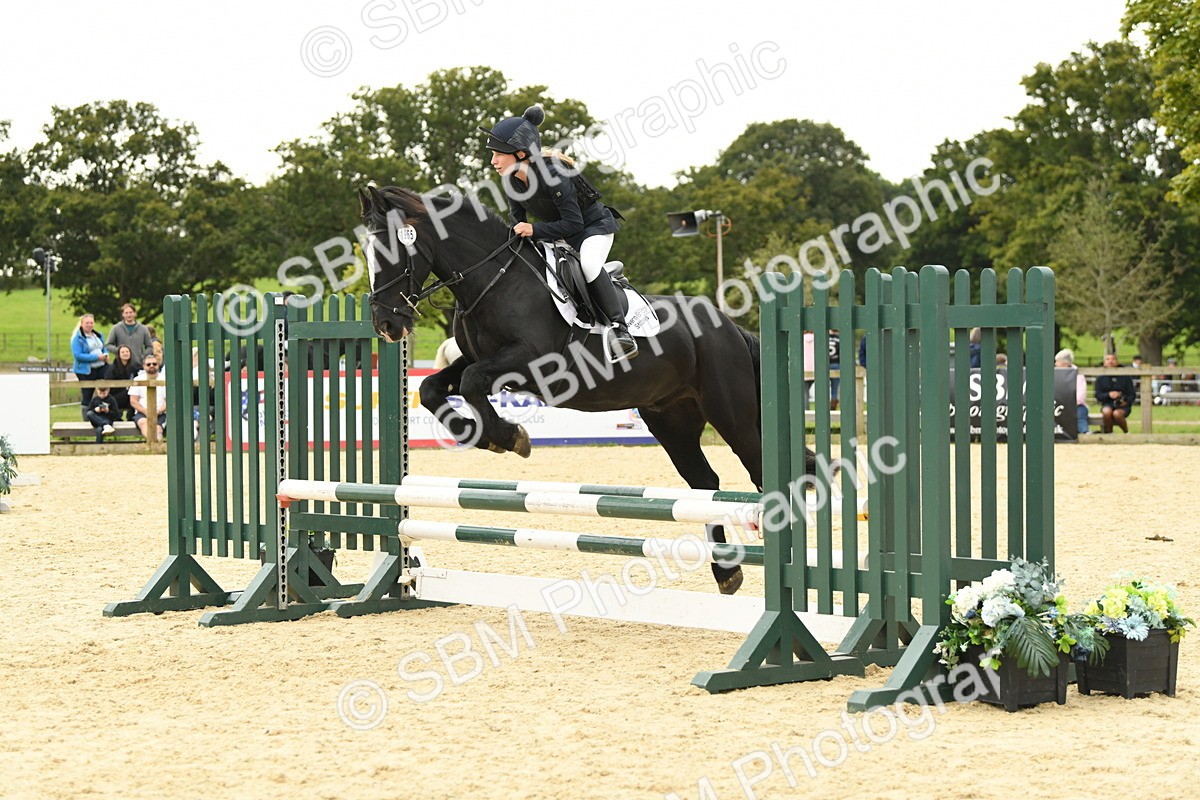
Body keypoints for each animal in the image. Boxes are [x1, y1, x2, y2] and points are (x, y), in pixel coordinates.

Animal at [359, 185, 815, 595]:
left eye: (391, 252)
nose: (387, 325)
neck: (492, 279)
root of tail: (730, 327)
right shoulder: (474, 359)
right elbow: (434, 388)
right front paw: (485, 435)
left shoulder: (530, 364)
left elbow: (471, 384)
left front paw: (510, 436)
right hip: (672, 420)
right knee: (704, 482)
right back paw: (726, 573)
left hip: (731, 414)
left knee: (760, 473)